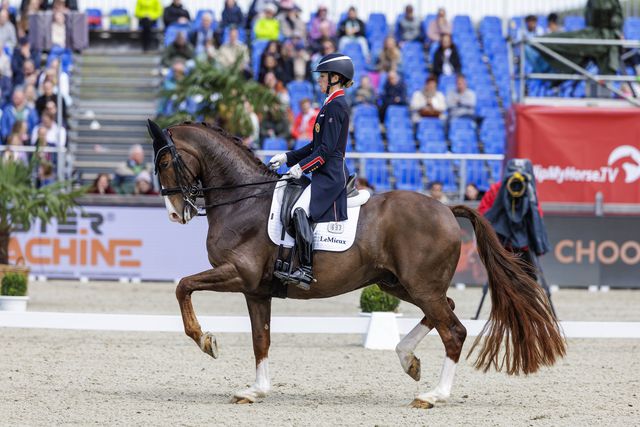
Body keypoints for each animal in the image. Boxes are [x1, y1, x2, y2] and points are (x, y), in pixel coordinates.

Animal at [147, 120, 566, 408]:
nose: (176, 214)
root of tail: (447, 209)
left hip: (419, 285)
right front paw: (255, 390)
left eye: (166, 160)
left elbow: (183, 286)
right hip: (398, 283)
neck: (243, 200)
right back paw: (408, 360)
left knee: (454, 331)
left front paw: (206, 340)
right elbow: (260, 339)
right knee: (445, 310)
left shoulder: (239, 274)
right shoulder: (256, 289)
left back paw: (433, 395)